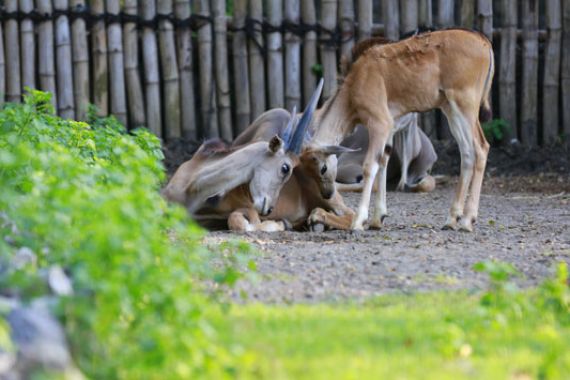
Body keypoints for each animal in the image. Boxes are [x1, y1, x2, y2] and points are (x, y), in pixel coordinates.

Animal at [308, 29, 490, 232]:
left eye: (323, 168)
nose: (327, 194)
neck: (357, 78)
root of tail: (481, 41)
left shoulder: (380, 123)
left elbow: (370, 166)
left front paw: (359, 221)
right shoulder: (390, 127)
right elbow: (383, 161)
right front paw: (377, 219)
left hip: (465, 106)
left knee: (481, 148)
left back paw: (467, 221)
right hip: (451, 110)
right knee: (467, 153)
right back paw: (451, 220)